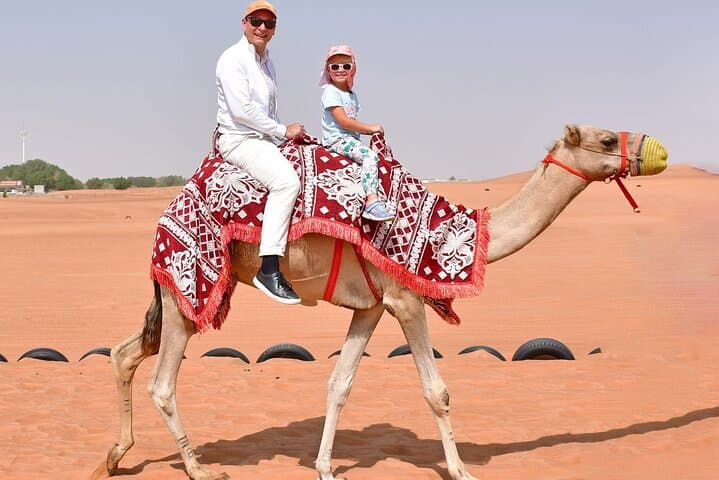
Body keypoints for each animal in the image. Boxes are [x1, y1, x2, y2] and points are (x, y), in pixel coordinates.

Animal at [92, 124, 668, 480]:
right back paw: (199, 467)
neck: (455, 233)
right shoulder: (406, 300)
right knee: (163, 382)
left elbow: (338, 384)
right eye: (605, 137)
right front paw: (461, 469)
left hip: (183, 294)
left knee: (124, 353)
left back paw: (114, 457)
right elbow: (437, 392)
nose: (654, 149)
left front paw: (325, 467)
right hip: (190, 282)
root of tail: (169, 208)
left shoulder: (368, 307)